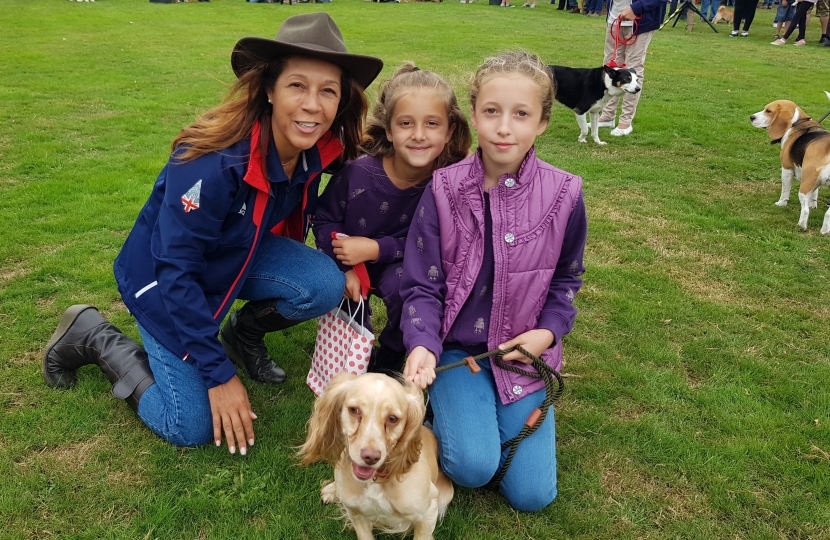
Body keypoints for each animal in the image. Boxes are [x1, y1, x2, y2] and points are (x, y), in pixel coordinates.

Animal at [752, 94, 830, 233]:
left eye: (768, 111)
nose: (751, 117)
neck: (797, 123)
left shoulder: (786, 169)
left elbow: (785, 190)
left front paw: (781, 203)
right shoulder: (815, 182)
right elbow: (815, 193)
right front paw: (813, 205)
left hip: (804, 185)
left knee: (805, 210)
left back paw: (801, 225)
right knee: (828, 214)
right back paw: (825, 231)